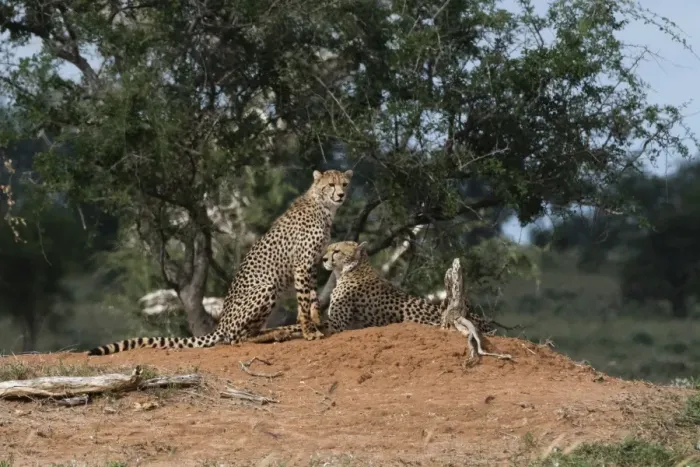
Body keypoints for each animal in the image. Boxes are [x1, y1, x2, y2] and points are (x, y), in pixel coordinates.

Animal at [87, 169, 354, 356]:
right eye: (330, 185)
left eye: (344, 184)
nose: (341, 195)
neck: (323, 206)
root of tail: (222, 324)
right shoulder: (302, 264)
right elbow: (304, 300)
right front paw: (309, 331)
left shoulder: (312, 264)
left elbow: (311, 299)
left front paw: (315, 324)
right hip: (266, 288)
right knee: (236, 338)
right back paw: (277, 334)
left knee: (248, 332)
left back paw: (280, 331)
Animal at [248, 240, 498, 343]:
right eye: (328, 249)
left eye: (336, 251)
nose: (324, 259)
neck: (353, 269)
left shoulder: (339, 326)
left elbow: (297, 327)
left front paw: (271, 333)